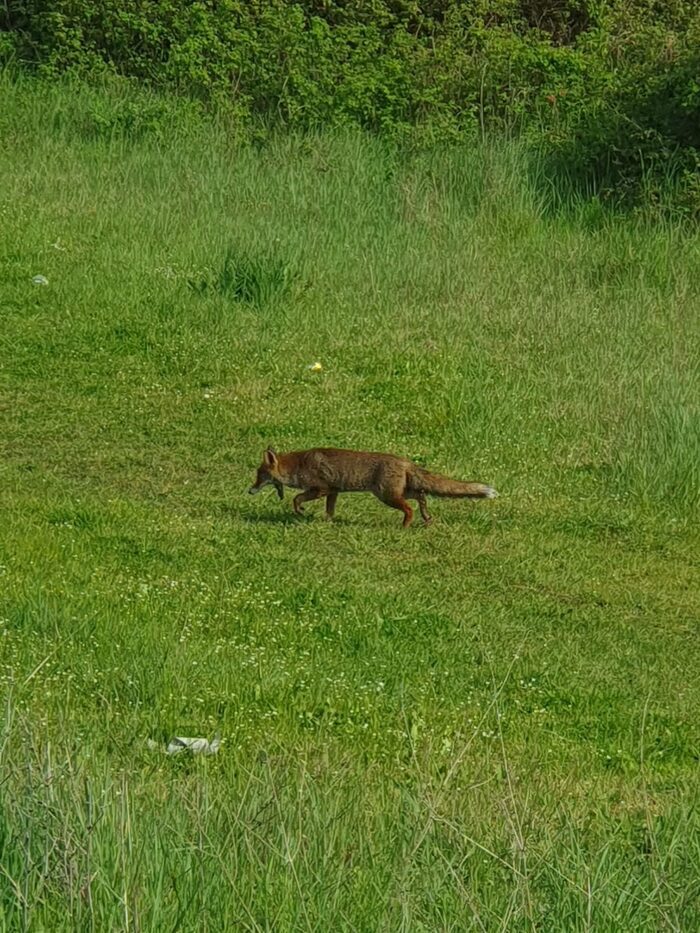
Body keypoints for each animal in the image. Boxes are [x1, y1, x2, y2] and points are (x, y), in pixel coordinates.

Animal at [247, 448, 498, 528]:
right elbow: (329, 511)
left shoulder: (321, 488)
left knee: (410, 508)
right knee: (422, 495)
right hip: (397, 492)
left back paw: (405, 526)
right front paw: (327, 523)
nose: (250, 490)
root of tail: (405, 461)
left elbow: (296, 499)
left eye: (259, 476)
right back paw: (427, 518)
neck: (299, 465)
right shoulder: (334, 492)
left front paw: (301, 512)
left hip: (386, 496)